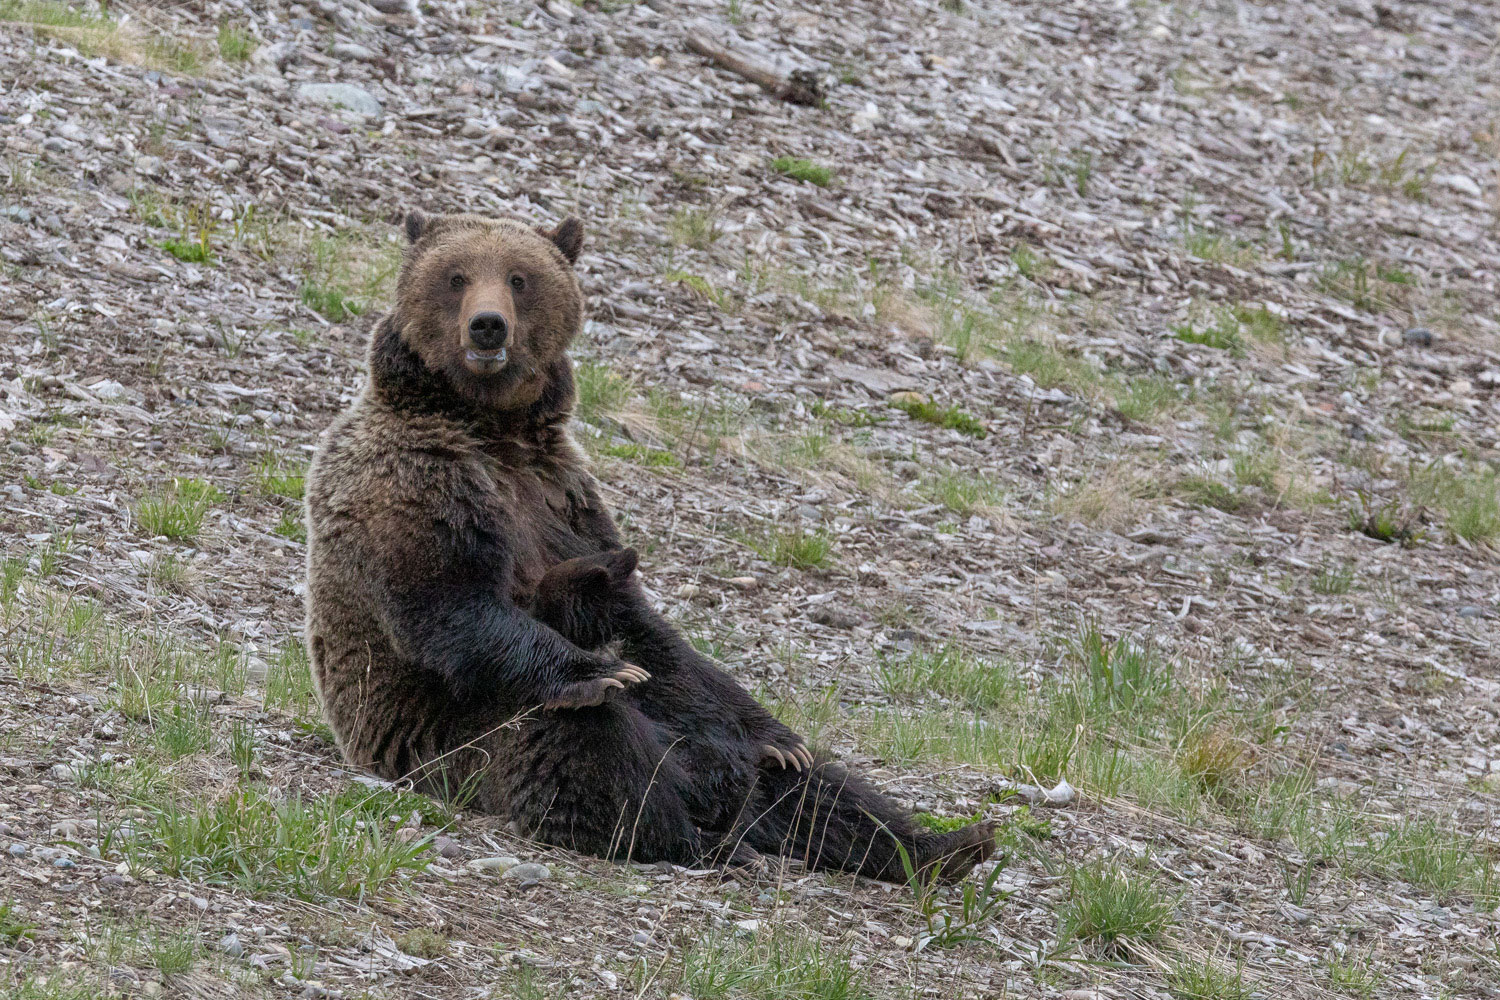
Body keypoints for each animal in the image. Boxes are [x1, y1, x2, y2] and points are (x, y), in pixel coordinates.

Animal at [304, 211, 996, 881]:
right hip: (458, 745)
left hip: (696, 745)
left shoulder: (565, 496)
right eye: (455, 276)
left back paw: (942, 844)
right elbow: (451, 603)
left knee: (811, 788)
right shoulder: (418, 481)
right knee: (590, 745)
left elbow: (647, 628)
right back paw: (702, 841)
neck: (492, 430)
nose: (487, 326)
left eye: (520, 279)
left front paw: (776, 734)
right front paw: (601, 669)